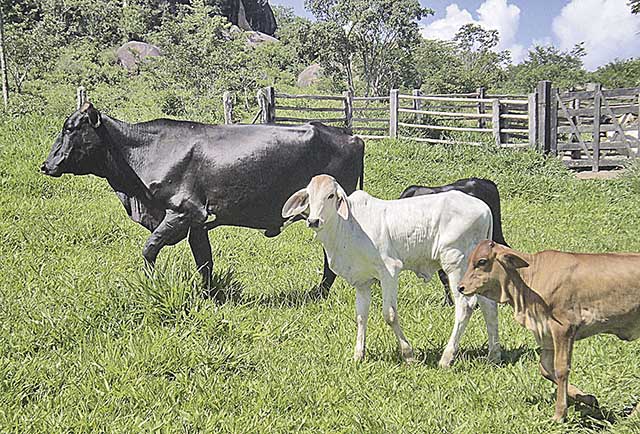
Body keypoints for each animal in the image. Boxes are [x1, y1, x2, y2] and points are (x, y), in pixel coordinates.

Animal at [42, 103, 364, 296]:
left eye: (71, 129)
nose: (46, 165)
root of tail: (351, 136)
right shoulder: (197, 223)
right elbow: (204, 261)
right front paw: (210, 296)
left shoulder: (184, 212)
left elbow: (149, 249)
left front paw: (151, 285)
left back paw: (319, 294)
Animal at [458, 239, 640, 422]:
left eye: (482, 261)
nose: (460, 287)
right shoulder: (546, 334)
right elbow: (545, 368)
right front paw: (589, 398)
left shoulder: (564, 327)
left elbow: (561, 369)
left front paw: (559, 414)